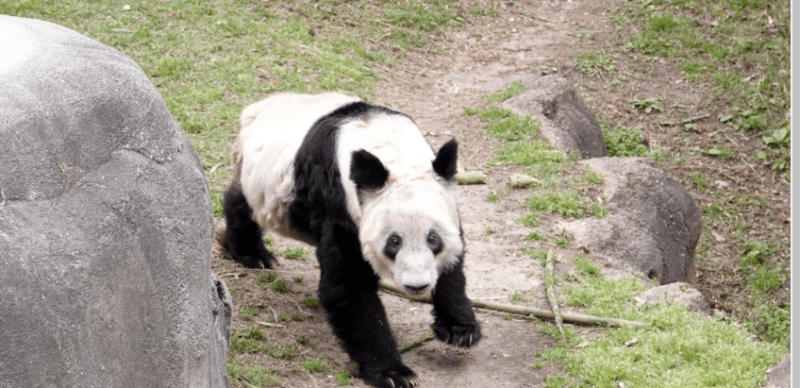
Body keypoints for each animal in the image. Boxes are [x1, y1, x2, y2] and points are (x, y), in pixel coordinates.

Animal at [220, 91, 482, 388]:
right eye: (394, 241)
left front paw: (460, 329)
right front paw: (393, 373)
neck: (391, 150)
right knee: (242, 202)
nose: (417, 286)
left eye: (433, 239)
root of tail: (258, 107)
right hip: (260, 179)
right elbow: (348, 288)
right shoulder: (339, 203)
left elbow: (454, 262)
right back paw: (254, 254)